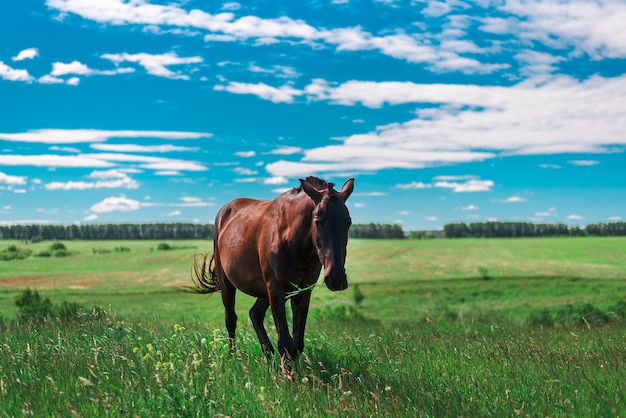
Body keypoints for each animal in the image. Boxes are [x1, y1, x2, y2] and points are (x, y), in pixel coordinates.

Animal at [177, 176, 352, 372]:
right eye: (317, 221)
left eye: (348, 222)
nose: (336, 278)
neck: (291, 239)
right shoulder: (275, 290)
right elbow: (285, 342)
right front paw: (288, 377)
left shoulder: (303, 291)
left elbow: (297, 344)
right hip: (228, 284)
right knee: (231, 319)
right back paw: (234, 358)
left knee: (255, 314)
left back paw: (267, 355)